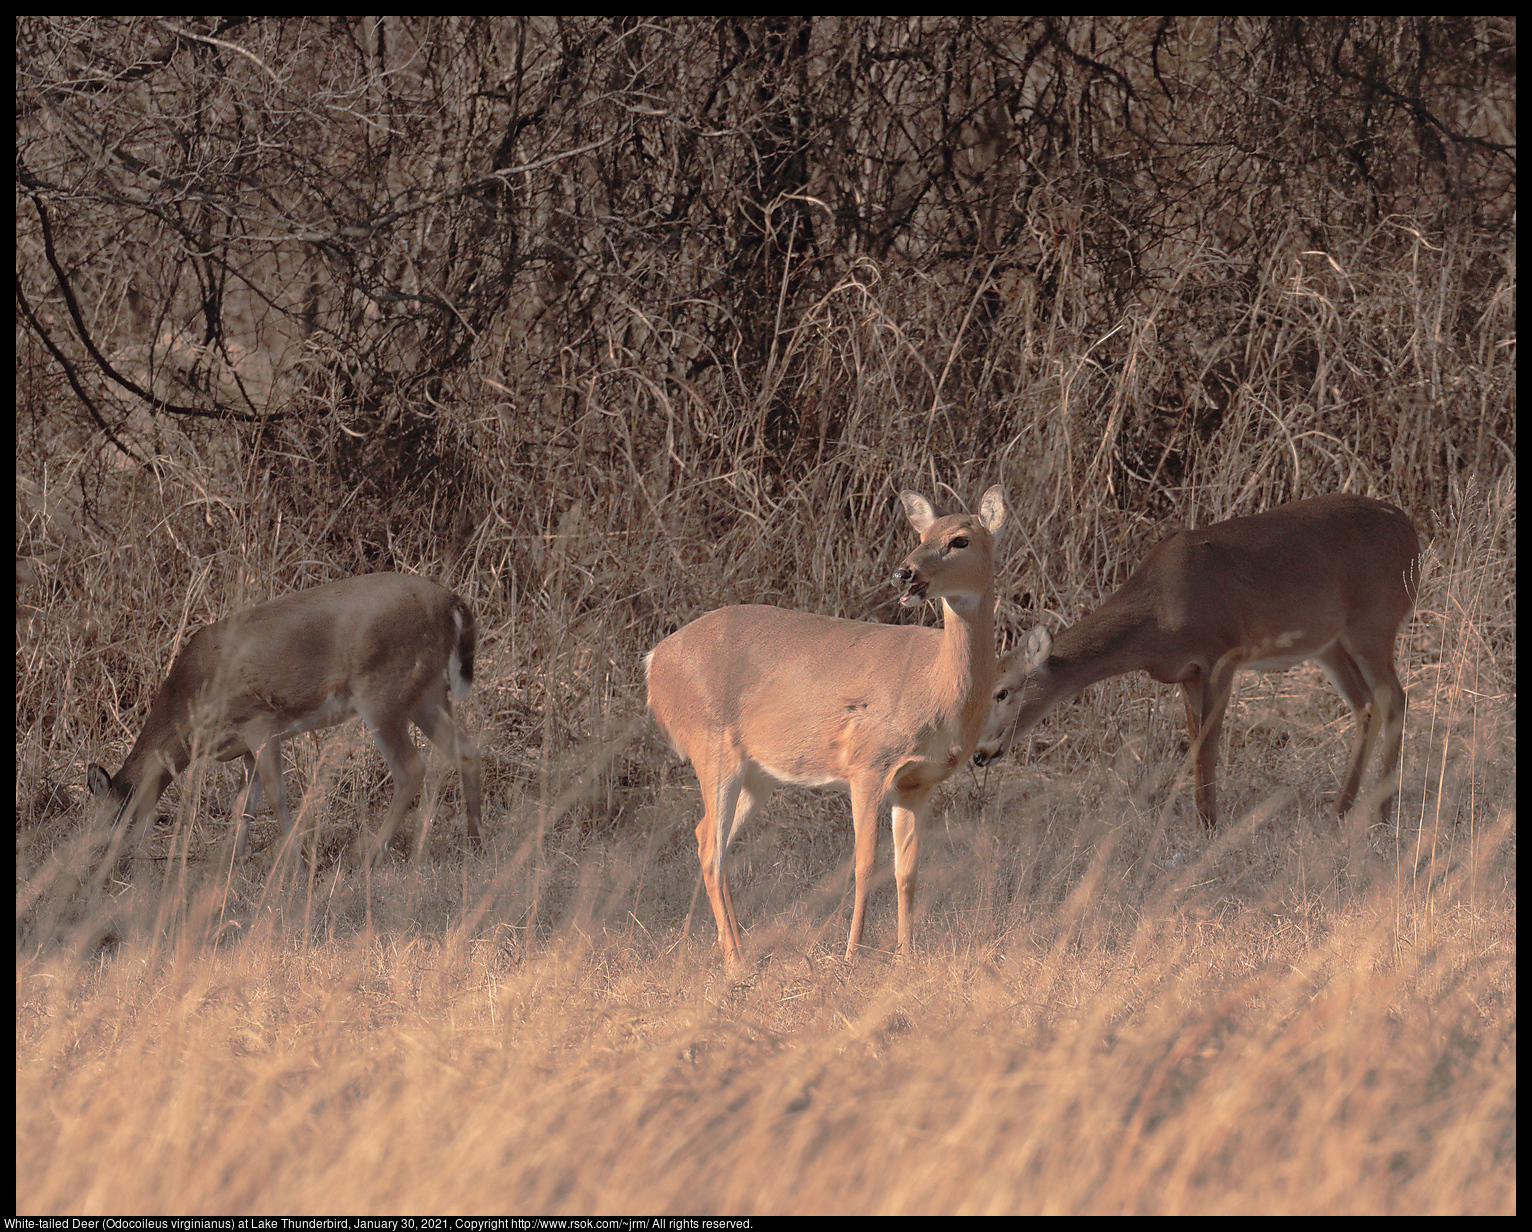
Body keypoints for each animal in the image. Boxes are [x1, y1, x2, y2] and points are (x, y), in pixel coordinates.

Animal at [86, 570, 477, 864]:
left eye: (110, 822)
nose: (100, 867)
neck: (190, 701)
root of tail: (451, 602)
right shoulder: (244, 746)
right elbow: (243, 804)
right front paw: (231, 862)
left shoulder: (259, 721)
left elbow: (276, 796)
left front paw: (293, 862)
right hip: (428, 692)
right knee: (464, 748)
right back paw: (475, 839)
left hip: (382, 692)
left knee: (410, 768)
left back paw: (367, 855)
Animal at [643, 487, 1004, 968]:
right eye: (922, 535)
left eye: (959, 539)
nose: (903, 573)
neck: (936, 686)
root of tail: (654, 662)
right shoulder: (867, 763)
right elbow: (865, 864)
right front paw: (852, 955)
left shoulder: (917, 783)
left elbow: (908, 870)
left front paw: (906, 956)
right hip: (711, 748)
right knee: (709, 848)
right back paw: (735, 959)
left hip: (756, 774)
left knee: (709, 838)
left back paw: (730, 946)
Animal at [974, 496, 1415, 833]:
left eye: (1002, 692)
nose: (979, 753)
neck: (1158, 612)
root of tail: (1412, 535)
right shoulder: (1186, 673)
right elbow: (1195, 743)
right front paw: (1202, 822)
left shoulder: (1223, 655)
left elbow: (1207, 745)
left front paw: (1208, 828)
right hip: (1330, 644)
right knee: (1366, 705)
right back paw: (1340, 811)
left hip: (1373, 624)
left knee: (1395, 698)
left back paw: (1380, 816)